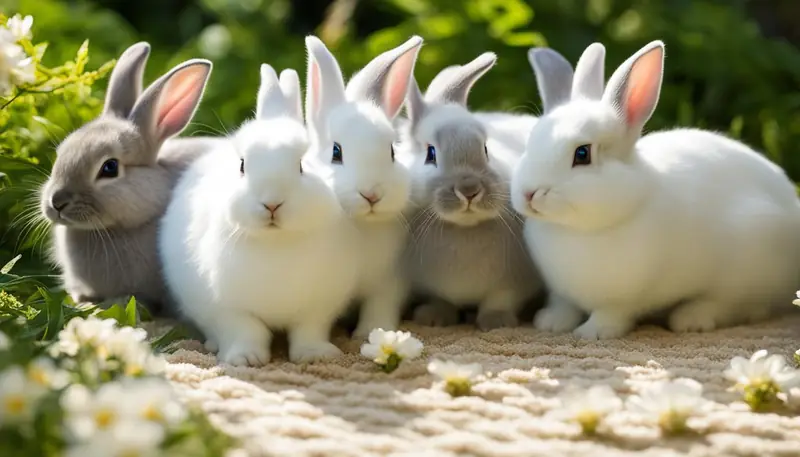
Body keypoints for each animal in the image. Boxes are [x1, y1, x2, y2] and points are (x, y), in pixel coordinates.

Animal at [159, 63, 361, 366]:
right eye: (242, 165)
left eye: (301, 165)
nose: (272, 203)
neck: (274, 242)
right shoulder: (227, 308)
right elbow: (246, 330)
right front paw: (246, 359)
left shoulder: (318, 307)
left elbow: (308, 331)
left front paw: (314, 356)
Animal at [304, 35, 422, 339]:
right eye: (336, 152)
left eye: (392, 152)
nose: (372, 194)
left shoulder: (390, 282)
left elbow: (379, 308)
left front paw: (370, 333)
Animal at [401, 52, 543, 331]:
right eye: (430, 154)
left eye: (486, 149)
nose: (469, 190)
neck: (463, 229)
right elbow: (440, 299)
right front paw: (433, 318)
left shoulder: (513, 284)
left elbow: (500, 299)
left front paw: (497, 322)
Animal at [512, 40, 800, 341]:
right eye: (530, 142)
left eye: (582, 154)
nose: (529, 194)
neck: (573, 230)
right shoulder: (561, 292)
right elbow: (562, 305)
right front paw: (549, 323)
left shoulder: (622, 298)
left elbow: (611, 314)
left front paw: (593, 333)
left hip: (746, 266)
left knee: (738, 306)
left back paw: (691, 319)